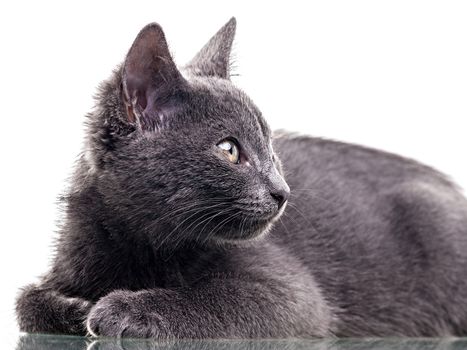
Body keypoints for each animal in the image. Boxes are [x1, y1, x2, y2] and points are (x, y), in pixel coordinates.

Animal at [15, 17, 467, 340]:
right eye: (229, 150)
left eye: (271, 147)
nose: (282, 191)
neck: (140, 246)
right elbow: (25, 301)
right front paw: (75, 308)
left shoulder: (295, 298)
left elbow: (216, 300)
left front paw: (124, 309)